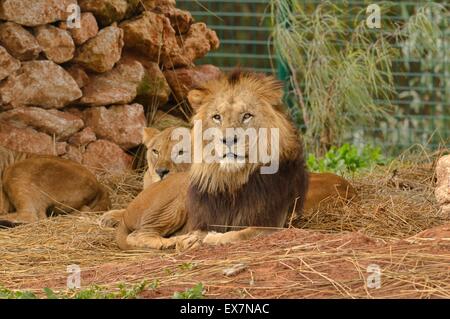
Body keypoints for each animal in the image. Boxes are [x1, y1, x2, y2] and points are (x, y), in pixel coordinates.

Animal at [113, 71, 310, 251]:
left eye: (247, 115)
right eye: (217, 117)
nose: (228, 140)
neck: (234, 179)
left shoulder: (272, 223)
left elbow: (240, 233)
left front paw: (211, 238)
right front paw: (193, 239)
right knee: (137, 234)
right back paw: (171, 242)